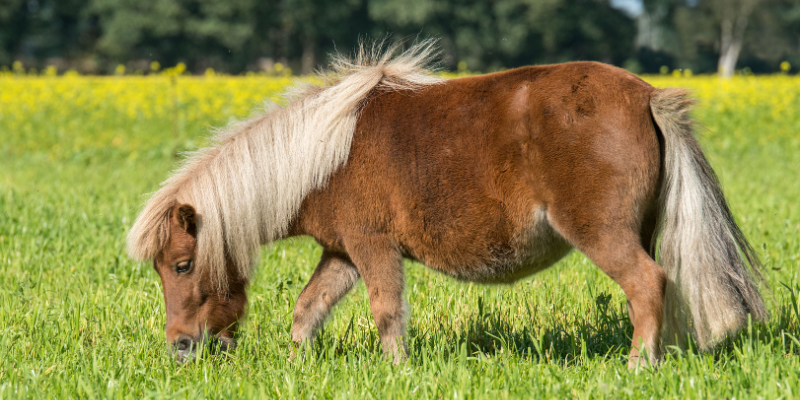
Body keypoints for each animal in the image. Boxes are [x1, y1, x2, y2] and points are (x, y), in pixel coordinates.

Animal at [128, 41, 764, 366]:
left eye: (182, 266)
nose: (180, 348)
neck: (323, 153)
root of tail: (647, 95)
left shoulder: (372, 249)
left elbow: (386, 312)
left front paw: (396, 373)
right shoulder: (342, 253)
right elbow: (307, 311)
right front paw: (297, 369)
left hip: (601, 235)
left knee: (646, 284)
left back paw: (637, 367)